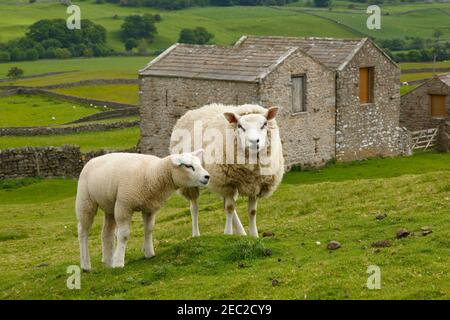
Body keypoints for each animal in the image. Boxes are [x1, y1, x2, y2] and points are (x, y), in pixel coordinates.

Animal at [76, 150, 210, 270]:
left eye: (199, 163)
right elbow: (123, 235)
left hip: (110, 206)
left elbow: (149, 229)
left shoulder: (149, 208)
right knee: (83, 231)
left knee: (106, 233)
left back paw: (109, 263)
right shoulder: (124, 205)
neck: (152, 173)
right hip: (85, 201)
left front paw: (149, 253)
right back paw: (86, 265)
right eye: (188, 166)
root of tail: (91, 161)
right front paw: (119, 263)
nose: (207, 177)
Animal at [171, 103, 284, 238]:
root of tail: (193, 111)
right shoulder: (228, 182)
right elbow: (229, 208)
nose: (253, 142)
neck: (250, 169)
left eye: (264, 124)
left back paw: (242, 233)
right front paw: (228, 233)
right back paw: (196, 235)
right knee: (194, 208)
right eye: (240, 126)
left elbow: (252, 211)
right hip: (191, 181)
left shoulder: (254, 185)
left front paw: (254, 235)